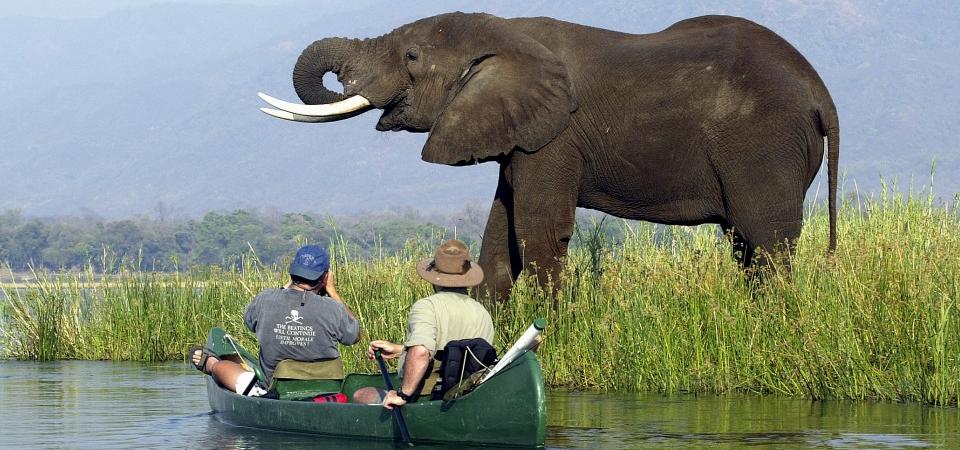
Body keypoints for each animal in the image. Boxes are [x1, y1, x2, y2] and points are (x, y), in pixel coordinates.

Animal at [258, 11, 836, 298]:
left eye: (412, 56)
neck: (508, 32)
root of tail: (819, 90)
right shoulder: (516, 136)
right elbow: (499, 234)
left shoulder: (556, 135)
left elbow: (536, 227)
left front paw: (550, 329)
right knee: (746, 244)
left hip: (764, 144)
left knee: (767, 240)